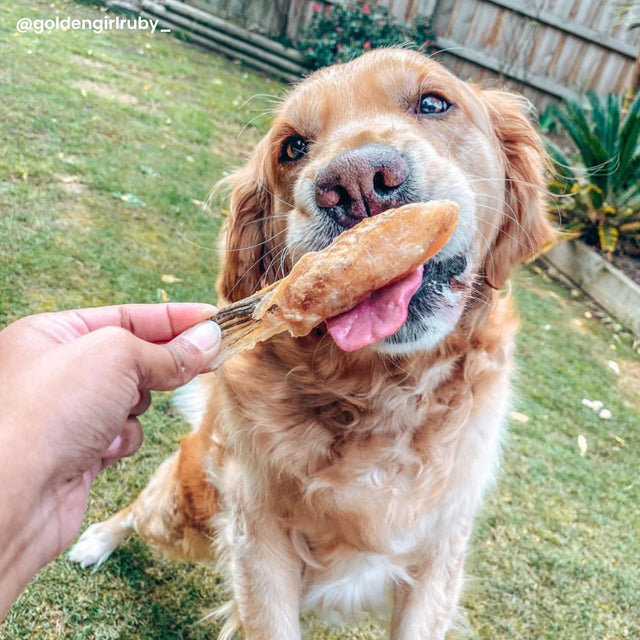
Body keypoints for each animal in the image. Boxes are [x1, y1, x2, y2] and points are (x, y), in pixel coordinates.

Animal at [67, 47, 552, 636]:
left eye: (434, 103)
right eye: (292, 147)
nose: (357, 182)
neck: (380, 395)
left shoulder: (441, 553)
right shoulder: (258, 541)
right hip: (187, 512)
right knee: (142, 508)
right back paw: (95, 540)